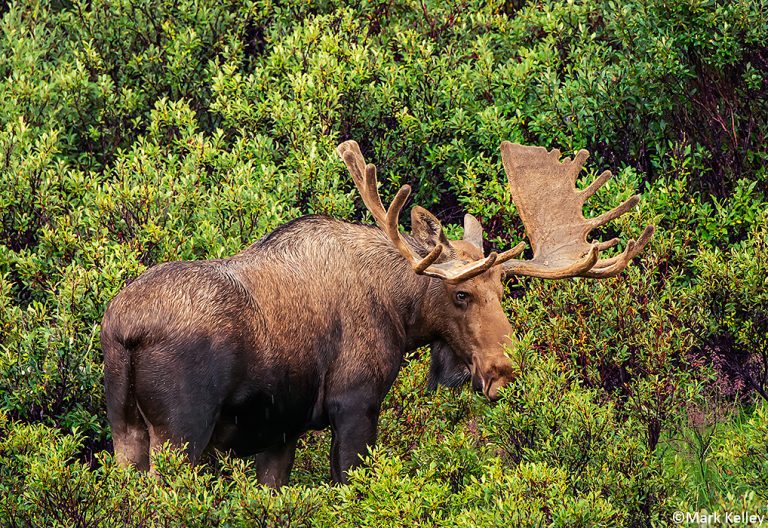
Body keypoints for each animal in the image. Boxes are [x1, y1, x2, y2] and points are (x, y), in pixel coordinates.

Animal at [101, 140, 654, 486]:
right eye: (460, 295)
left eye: (501, 288)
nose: (504, 371)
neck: (401, 316)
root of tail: (124, 330)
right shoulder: (356, 403)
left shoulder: (281, 430)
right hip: (181, 433)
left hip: (125, 431)